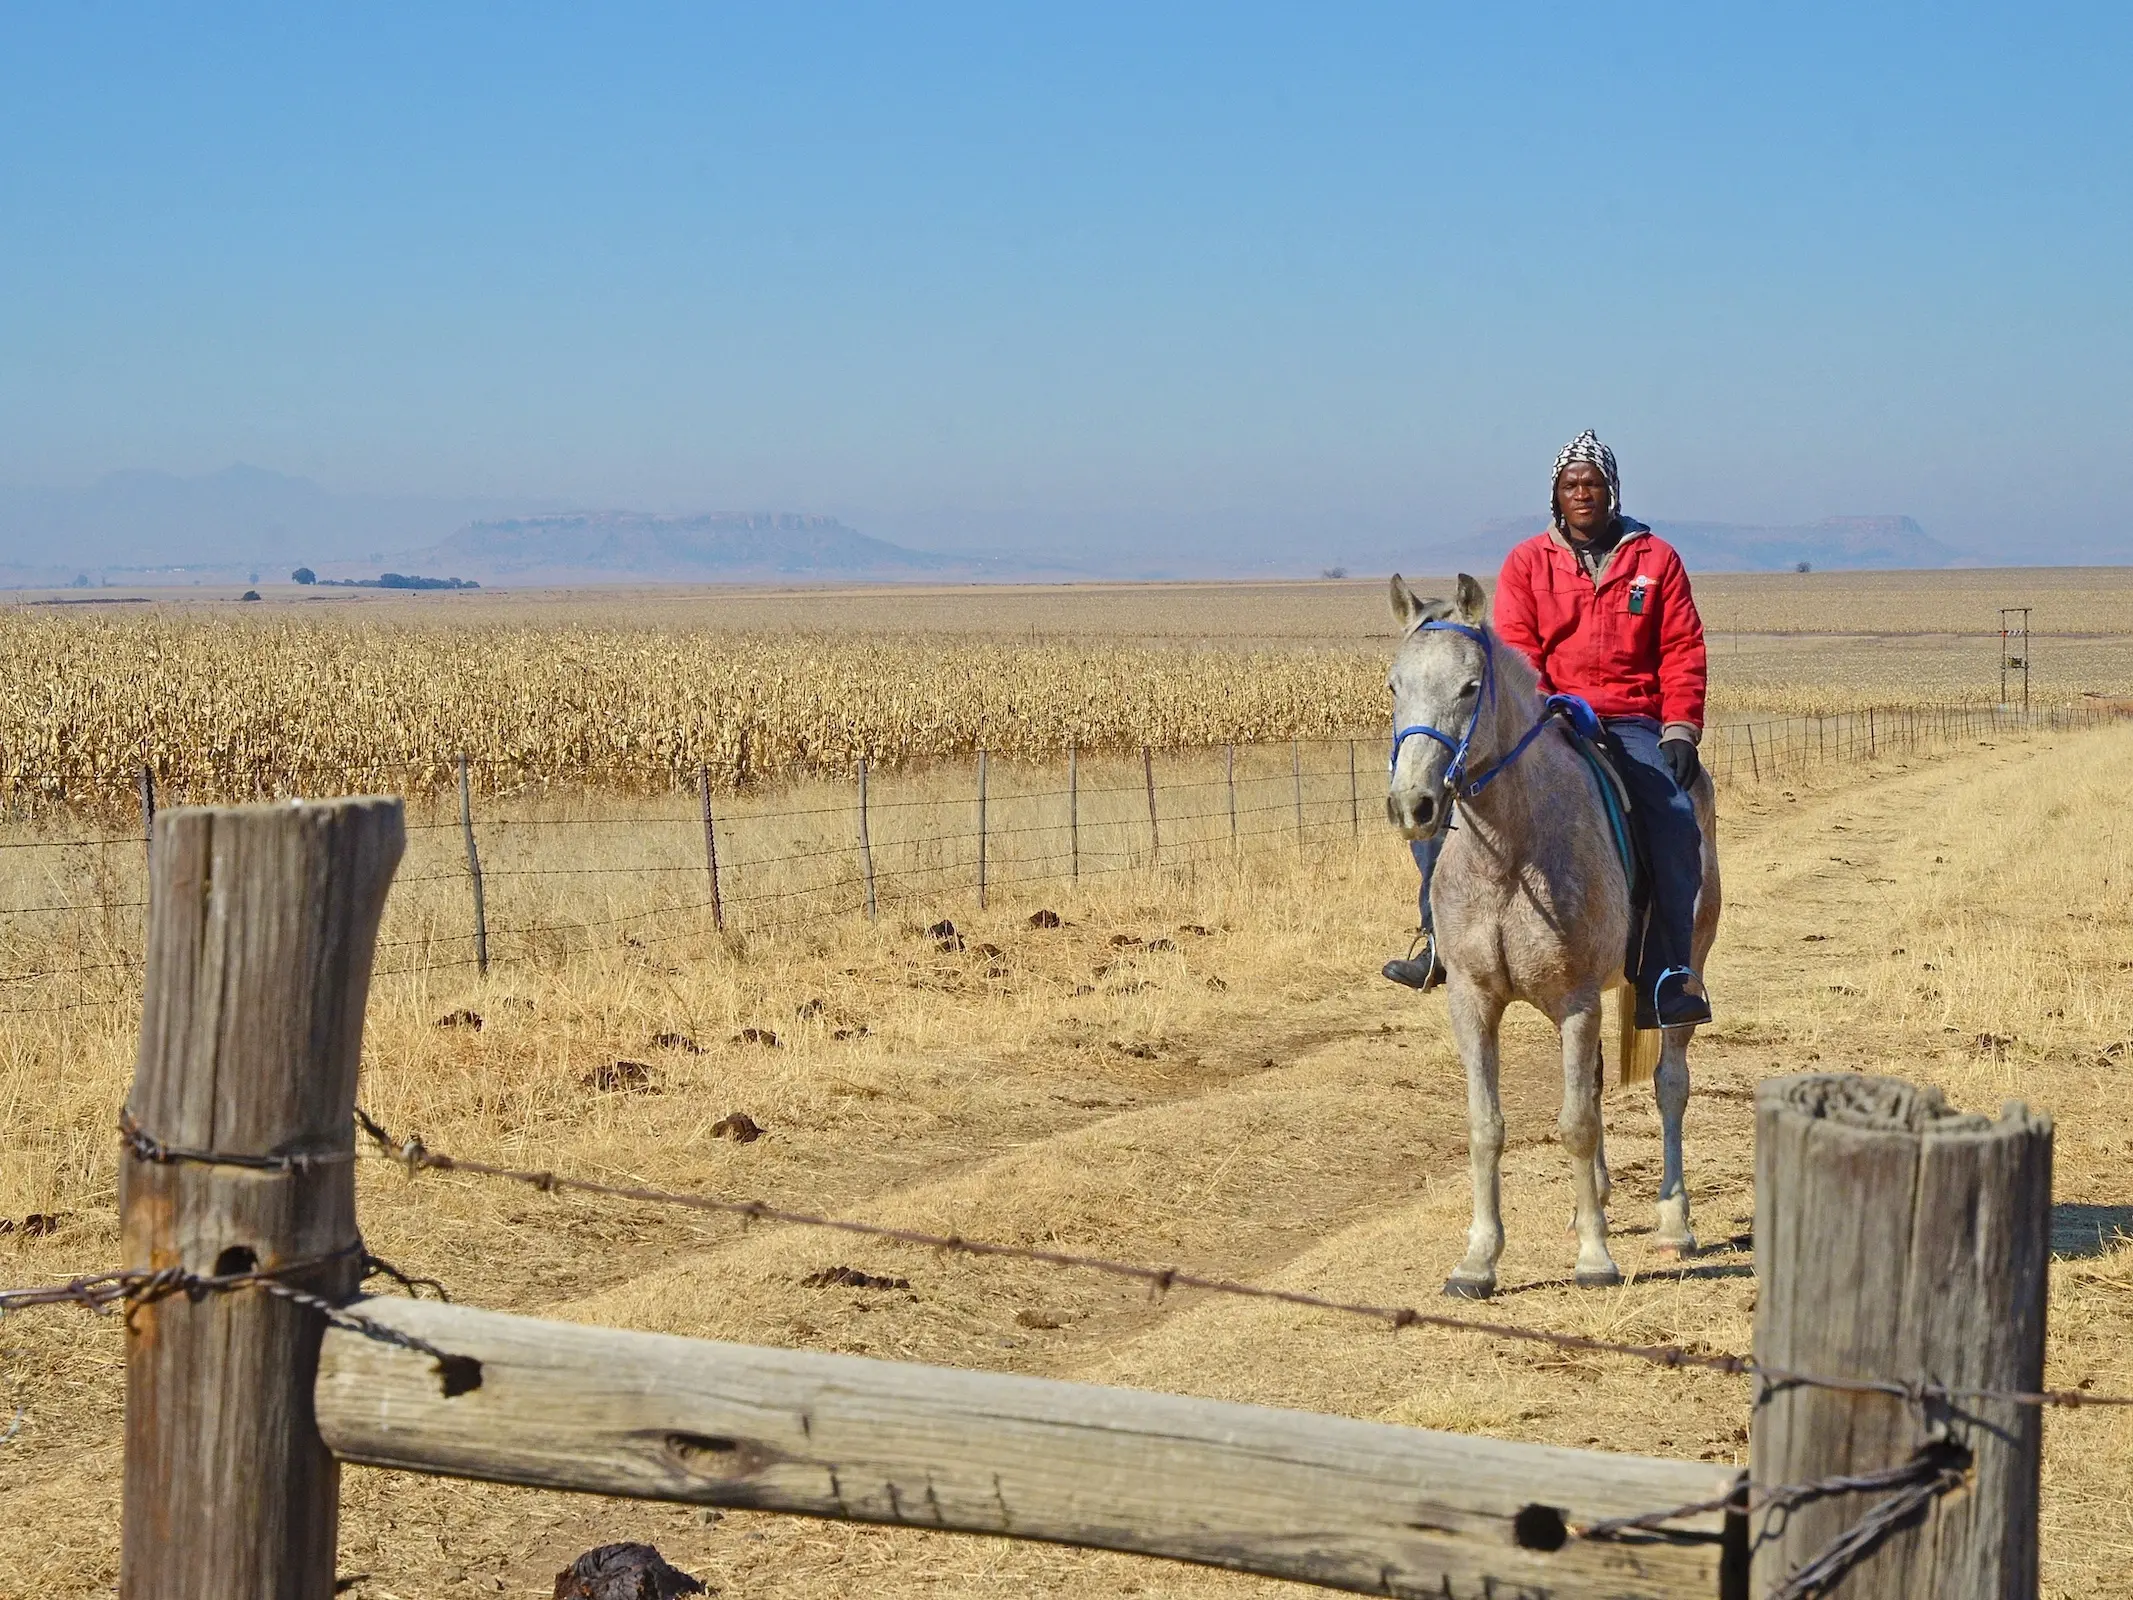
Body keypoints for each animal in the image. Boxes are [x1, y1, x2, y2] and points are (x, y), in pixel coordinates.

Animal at [1390, 576, 1723, 1305]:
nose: (1412, 805)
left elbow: (1576, 1124)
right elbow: (1487, 1126)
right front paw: (1477, 1262)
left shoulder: (1575, 1000)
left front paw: (1594, 1258)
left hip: (1678, 979)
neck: (1508, 853)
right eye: (1394, 684)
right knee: (1595, 1085)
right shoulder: (1472, 1002)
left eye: (1470, 686)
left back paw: (1674, 1222)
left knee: (1670, 1083)